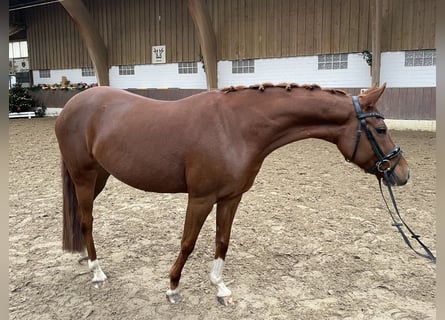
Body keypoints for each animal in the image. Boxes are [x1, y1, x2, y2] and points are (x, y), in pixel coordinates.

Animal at [55, 82, 410, 304]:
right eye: (380, 129)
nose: (402, 173)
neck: (234, 127)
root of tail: (72, 105)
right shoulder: (200, 198)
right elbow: (188, 243)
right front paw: (172, 287)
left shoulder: (231, 198)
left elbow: (222, 241)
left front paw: (220, 288)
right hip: (84, 176)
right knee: (86, 220)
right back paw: (97, 271)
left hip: (100, 176)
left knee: (82, 219)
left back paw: (86, 257)